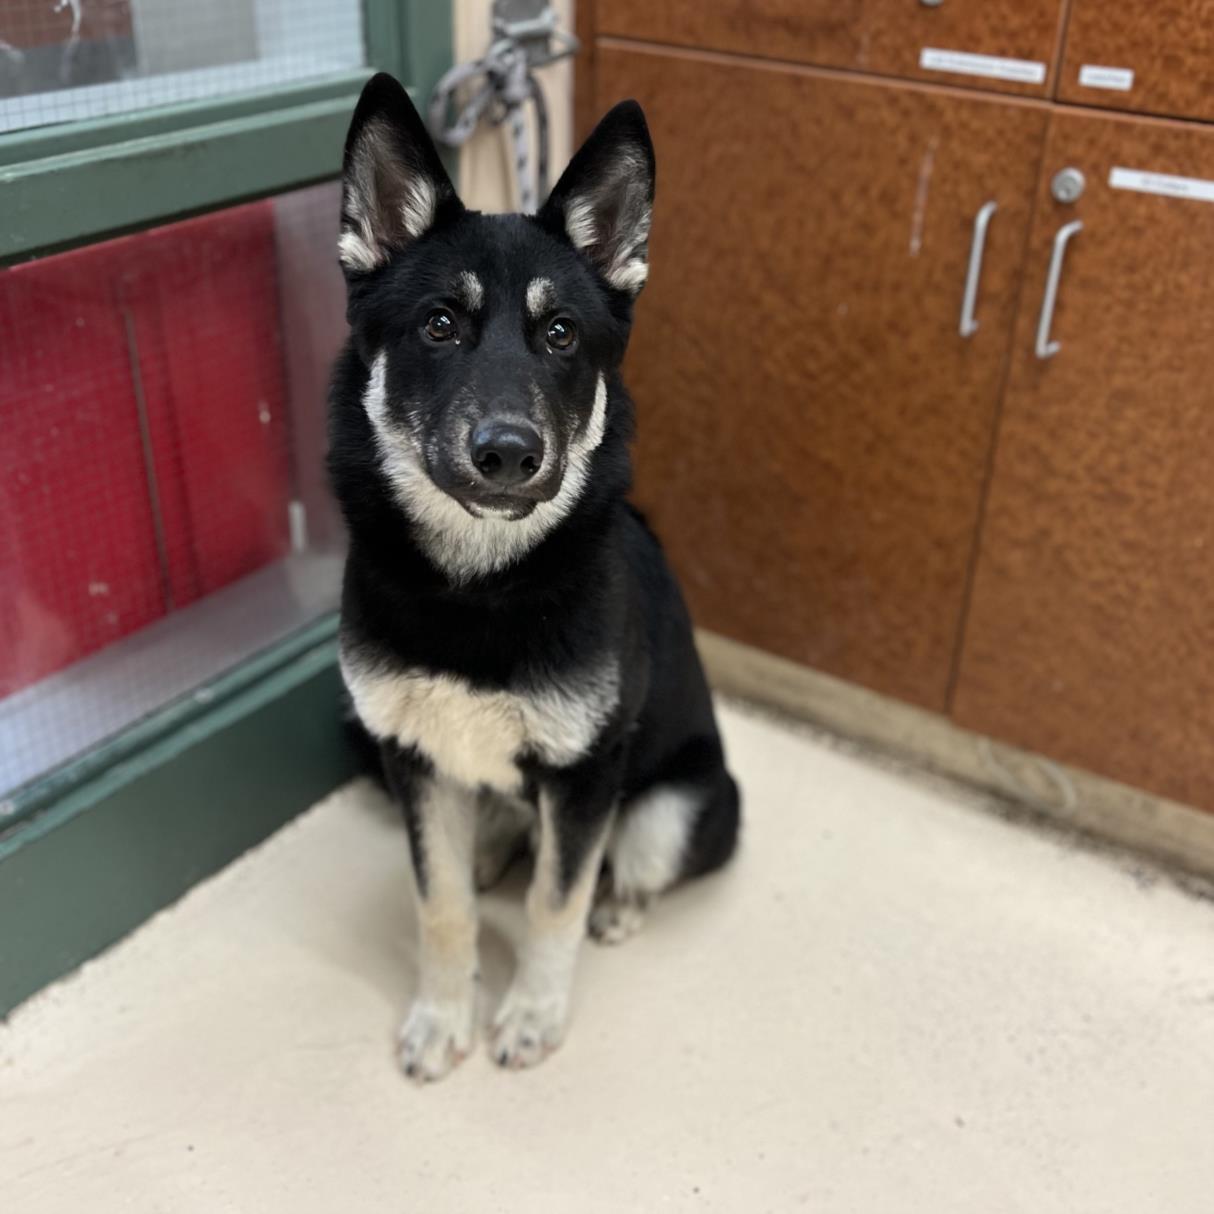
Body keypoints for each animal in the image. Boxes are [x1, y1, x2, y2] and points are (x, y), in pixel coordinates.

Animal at [327, 73, 738, 1082]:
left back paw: (618, 904)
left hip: (675, 803)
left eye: (560, 334)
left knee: (628, 860)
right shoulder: (413, 758)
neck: (479, 584)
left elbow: (556, 900)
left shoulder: (588, 777)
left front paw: (533, 1014)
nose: (510, 454)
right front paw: (444, 1015)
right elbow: (438, 905)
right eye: (439, 324)